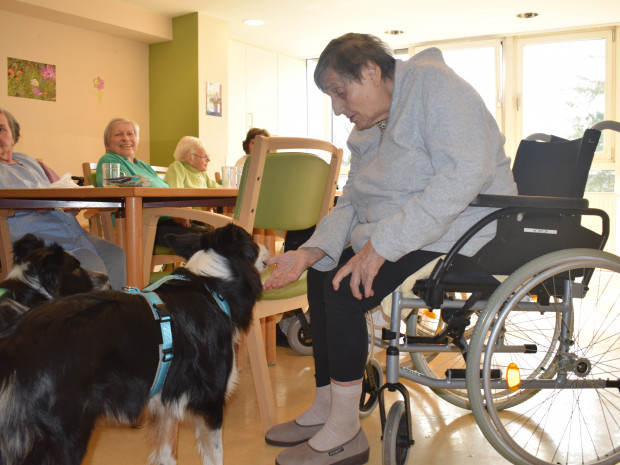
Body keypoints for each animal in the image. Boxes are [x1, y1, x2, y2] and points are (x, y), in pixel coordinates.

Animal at [0, 223, 268, 462]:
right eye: (251, 241)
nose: (267, 247)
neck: (212, 286)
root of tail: (15, 341)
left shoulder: (164, 400)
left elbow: (167, 455)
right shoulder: (210, 402)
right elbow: (215, 455)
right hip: (64, 435)